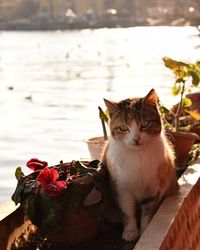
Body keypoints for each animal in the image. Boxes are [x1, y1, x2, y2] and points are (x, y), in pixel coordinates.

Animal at [101, 89, 178, 241]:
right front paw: (130, 231)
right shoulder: (122, 189)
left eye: (145, 123)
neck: (138, 156)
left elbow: (147, 210)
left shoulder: (154, 187)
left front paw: (144, 230)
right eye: (123, 128)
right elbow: (127, 212)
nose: (136, 139)